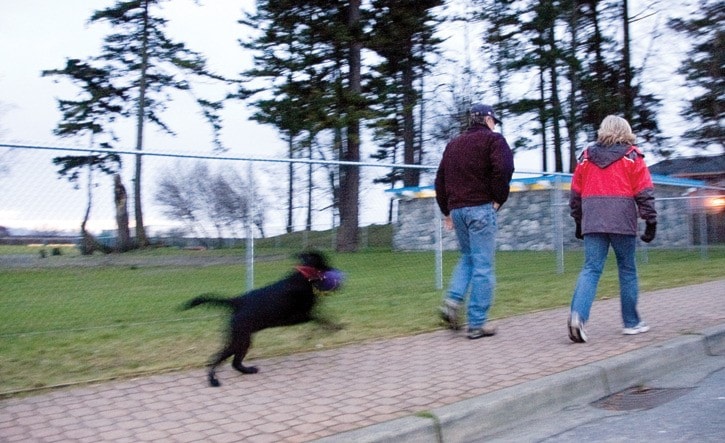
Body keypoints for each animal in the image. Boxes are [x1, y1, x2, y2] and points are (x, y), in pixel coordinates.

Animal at [185, 251, 346, 386]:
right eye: (325, 262)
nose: (336, 270)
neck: (303, 277)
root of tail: (237, 301)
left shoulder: (304, 315)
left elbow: (320, 319)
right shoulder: (300, 316)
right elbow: (322, 319)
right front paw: (334, 328)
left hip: (242, 339)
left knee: (234, 362)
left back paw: (247, 371)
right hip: (240, 339)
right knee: (216, 359)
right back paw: (213, 381)